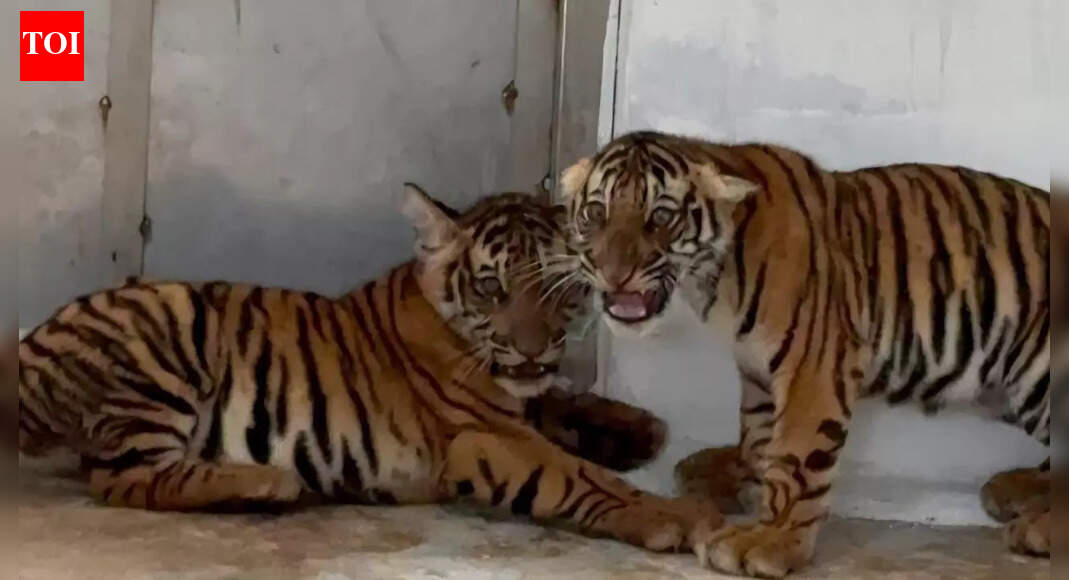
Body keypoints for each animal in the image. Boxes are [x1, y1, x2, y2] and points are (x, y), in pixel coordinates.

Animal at [17, 185, 720, 552]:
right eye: (491, 288)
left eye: (560, 292)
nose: (533, 348)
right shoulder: (483, 436)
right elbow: (582, 476)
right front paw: (680, 517)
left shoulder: (520, 402)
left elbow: (561, 404)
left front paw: (640, 429)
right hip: (165, 331)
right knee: (125, 479)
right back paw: (265, 483)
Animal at [559, 130, 1051, 577]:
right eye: (596, 212)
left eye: (661, 215)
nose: (614, 273)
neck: (714, 274)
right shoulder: (756, 369)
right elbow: (758, 437)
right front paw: (747, 485)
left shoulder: (813, 364)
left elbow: (796, 454)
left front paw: (769, 541)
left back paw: (1040, 525)